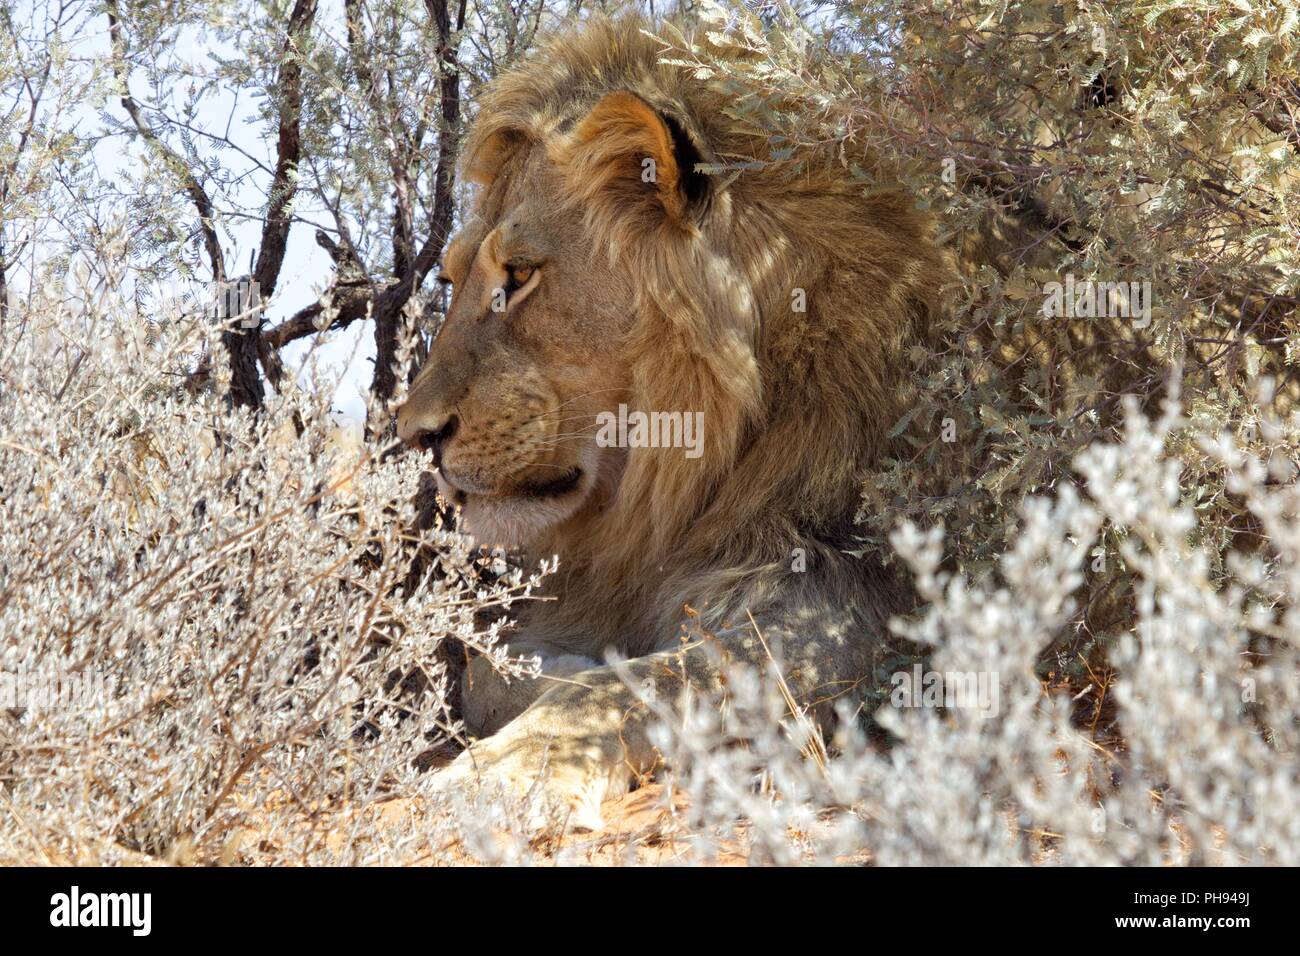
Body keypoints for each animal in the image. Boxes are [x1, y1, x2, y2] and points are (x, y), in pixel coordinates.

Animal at [390, 14, 951, 832]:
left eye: (519, 276)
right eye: (454, 278)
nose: (416, 436)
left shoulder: (856, 595)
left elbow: (636, 685)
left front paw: (499, 771)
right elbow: (491, 662)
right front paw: (553, 666)